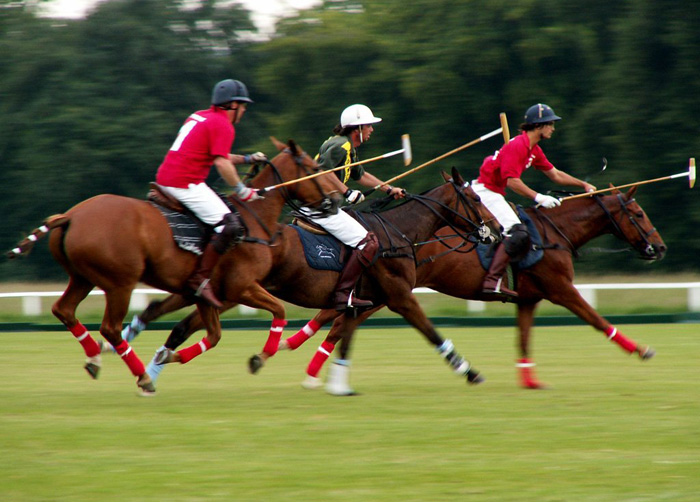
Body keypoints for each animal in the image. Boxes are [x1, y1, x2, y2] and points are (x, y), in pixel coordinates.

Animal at [6, 138, 342, 396]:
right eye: (315, 169)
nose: (337, 200)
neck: (253, 218)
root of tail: (71, 216)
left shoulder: (207, 294)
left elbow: (211, 335)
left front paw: (167, 355)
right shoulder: (240, 287)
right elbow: (279, 311)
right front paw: (261, 356)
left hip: (82, 277)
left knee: (63, 310)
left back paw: (95, 359)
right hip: (119, 282)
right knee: (110, 327)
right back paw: (141, 376)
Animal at [120, 167, 498, 386]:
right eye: (475, 197)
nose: (495, 230)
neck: (399, 235)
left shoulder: (366, 302)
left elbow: (340, 333)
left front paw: (325, 378)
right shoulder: (400, 297)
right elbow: (432, 332)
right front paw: (470, 371)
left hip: (225, 290)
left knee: (179, 322)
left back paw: (150, 364)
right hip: (234, 289)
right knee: (183, 322)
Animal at [288, 186, 668, 394]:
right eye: (638, 213)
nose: (660, 248)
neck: (553, 232)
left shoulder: (528, 298)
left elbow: (523, 338)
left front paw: (530, 381)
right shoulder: (561, 288)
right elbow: (596, 319)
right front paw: (642, 350)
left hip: (386, 292)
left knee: (340, 315)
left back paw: (303, 358)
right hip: (394, 291)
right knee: (340, 316)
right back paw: (301, 355)